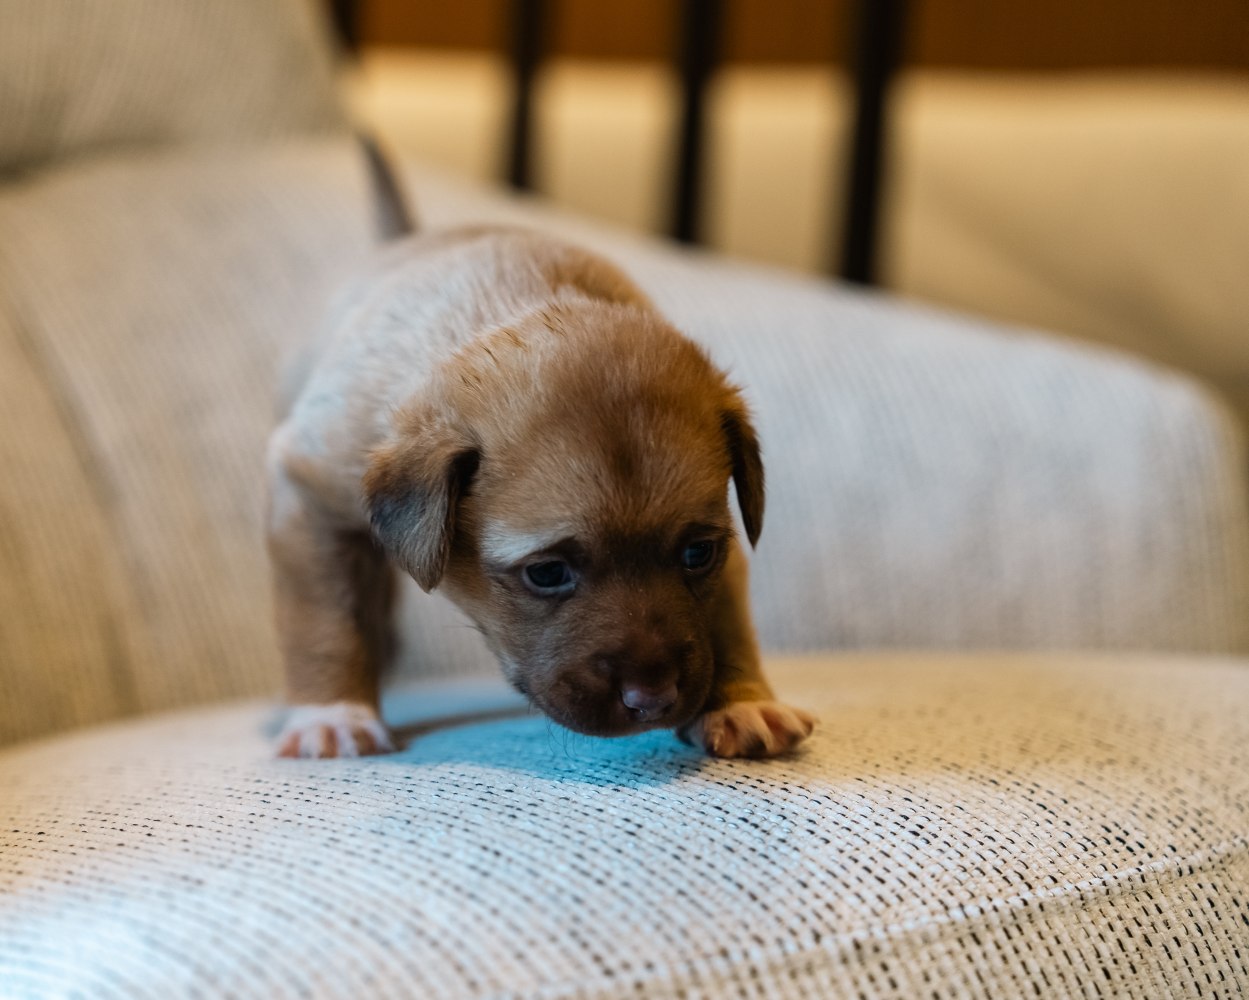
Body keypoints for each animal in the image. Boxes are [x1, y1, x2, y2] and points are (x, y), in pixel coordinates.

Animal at [264, 144, 814, 759]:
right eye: (547, 573)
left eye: (696, 554)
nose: (652, 700)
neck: (513, 302)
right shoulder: (311, 504)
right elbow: (328, 622)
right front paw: (331, 714)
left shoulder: (723, 538)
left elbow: (727, 619)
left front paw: (742, 702)